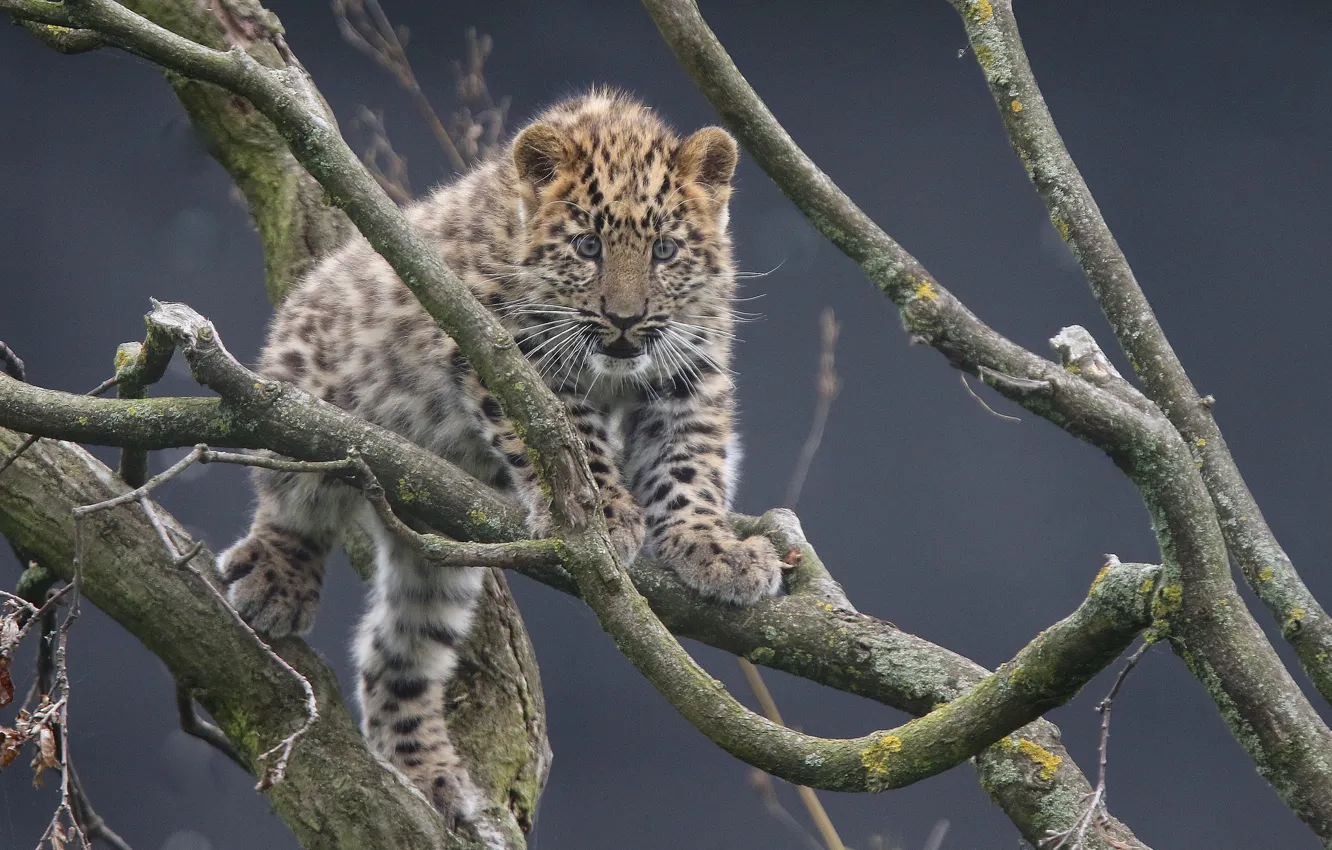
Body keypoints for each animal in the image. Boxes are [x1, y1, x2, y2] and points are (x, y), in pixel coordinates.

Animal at [215, 88, 786, 831]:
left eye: (664, 251)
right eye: (587, 246)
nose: (625, 319)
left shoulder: (689, 372)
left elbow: (690, 464)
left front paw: (713, 548)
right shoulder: (508, 351)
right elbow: (566, 435)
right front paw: (603, 517)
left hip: (440, 551)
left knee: (395, 652)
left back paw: (430, 778)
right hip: (300, 406)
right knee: (289, 501)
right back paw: (276, 583)